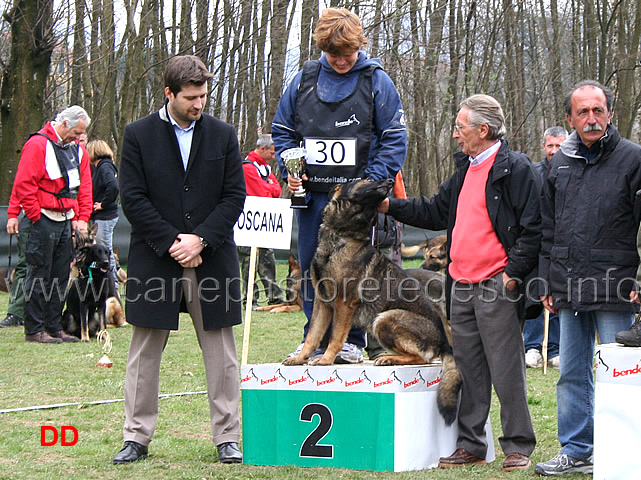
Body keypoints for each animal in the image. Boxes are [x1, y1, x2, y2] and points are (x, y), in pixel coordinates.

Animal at [284, 179, 460, 424]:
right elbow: (313, 335)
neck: (341, 235)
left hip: (384, 318)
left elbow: (335, 337)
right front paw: (301, 358)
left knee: (421, 358)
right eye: (366, 179)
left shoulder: (344, 303)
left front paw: (326, 359)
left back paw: (389, 359)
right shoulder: (322, 303)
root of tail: (443, 343)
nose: (388, 180)